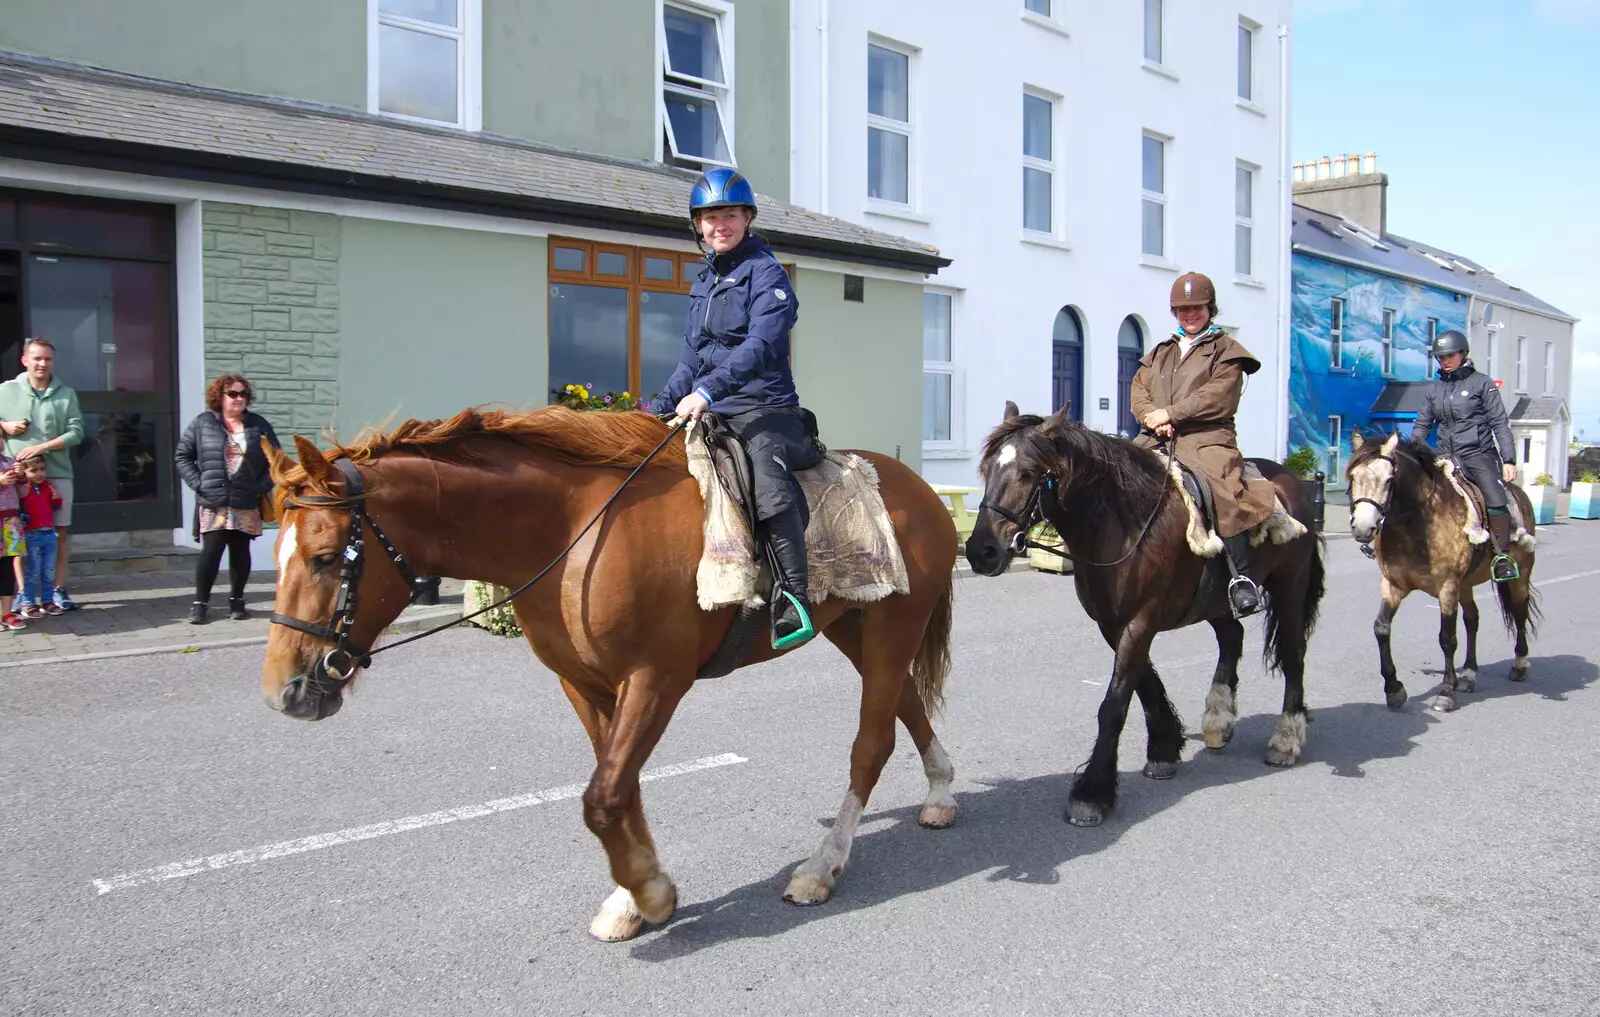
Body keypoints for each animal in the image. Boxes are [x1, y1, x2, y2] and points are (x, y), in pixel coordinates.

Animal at [257, 407, 953, 946]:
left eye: (326, 558)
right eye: (279, 553)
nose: (284, 691)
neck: (570, 533)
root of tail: (921, 489)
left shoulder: (655, 680)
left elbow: (602, 798)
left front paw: (649, 894)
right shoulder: (586, 686)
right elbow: (622, 790)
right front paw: (632, 897)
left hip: (891, 628)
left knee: (872, 743)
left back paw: (821, 866)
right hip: (854, 627)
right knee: (906, 703)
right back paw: (941, 793)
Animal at [960, 404, 1324, 825]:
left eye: (1029, 472)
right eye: (988, 470)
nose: (981, 551)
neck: (1124, 524)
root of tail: (1294, 483)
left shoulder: (1140, 622)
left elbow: (1115, 703)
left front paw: (1092, 792)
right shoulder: (1113, 623)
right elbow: (1145, 684)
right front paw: (1164, 748)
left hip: (1290, 587)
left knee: (1293, 655)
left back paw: (1286, 739)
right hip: (1216, 600)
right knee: (1232, 639)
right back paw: (1219, 720)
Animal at [1344, 431, 1542, 709]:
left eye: (1389, 479)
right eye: (1353, 476)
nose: (1363, 528)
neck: (1417, 524)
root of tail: (1518, 493)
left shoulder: (1447, 588)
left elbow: (1447, 638)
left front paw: (1446, 691)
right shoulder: (1393, 586)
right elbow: (1381, 628)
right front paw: (1394, 689)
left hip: (1520, 574)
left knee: (1519, 612)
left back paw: (1520, 665)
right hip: (1466, 585)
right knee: (1473, 619)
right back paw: (1468, 674)